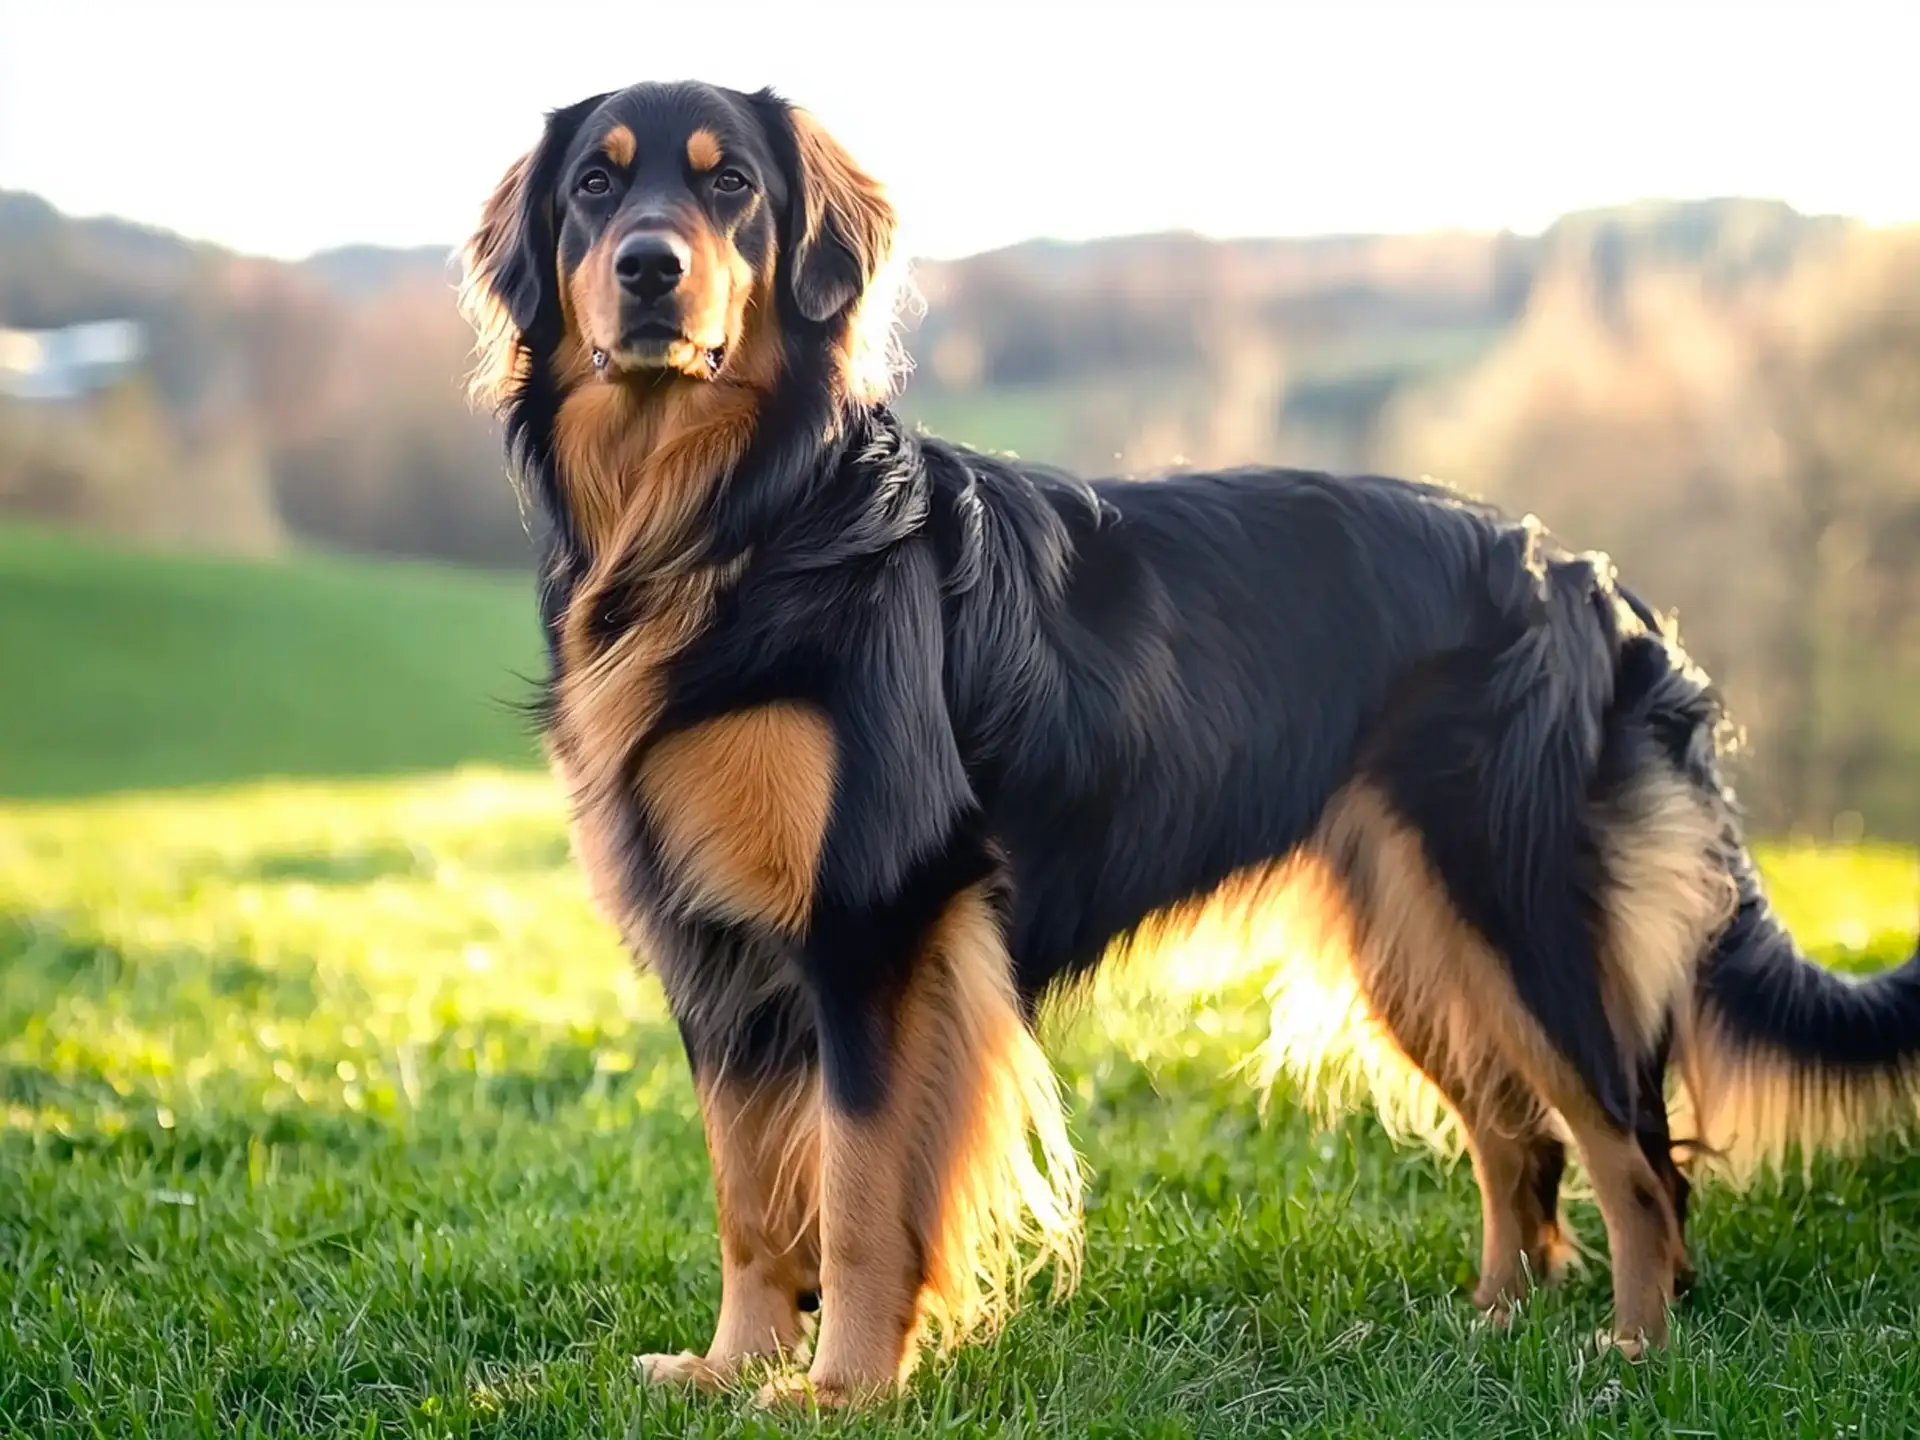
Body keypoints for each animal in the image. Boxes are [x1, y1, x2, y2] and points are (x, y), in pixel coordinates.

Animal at [460, 81, 1920, 1413]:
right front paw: (729, 1368)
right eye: (597, 185)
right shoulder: (718, 955)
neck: (723, 521)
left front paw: (842, 1390)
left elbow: (862, 1185)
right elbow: (753, 1195)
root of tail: (1587, 583)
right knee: (1524, 1143)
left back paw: (1629, 1360)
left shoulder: (879, 918)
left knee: (1637, 1153)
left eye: (731, 187)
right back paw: (1496, 1328)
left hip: (1520, 904)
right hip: (1418, 932)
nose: (649, 268)